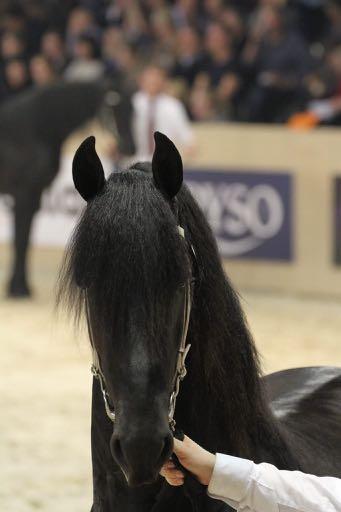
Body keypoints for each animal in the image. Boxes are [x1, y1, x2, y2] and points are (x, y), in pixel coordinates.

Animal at [0, 79, 135, 296]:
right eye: (112, 107)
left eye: (132, 108)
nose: (129, 147)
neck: (34, 130)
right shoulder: (23, 194)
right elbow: (21, 240)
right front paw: (19, 289)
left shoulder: (34, 194)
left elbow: (25, 239)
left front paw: (21, 286)